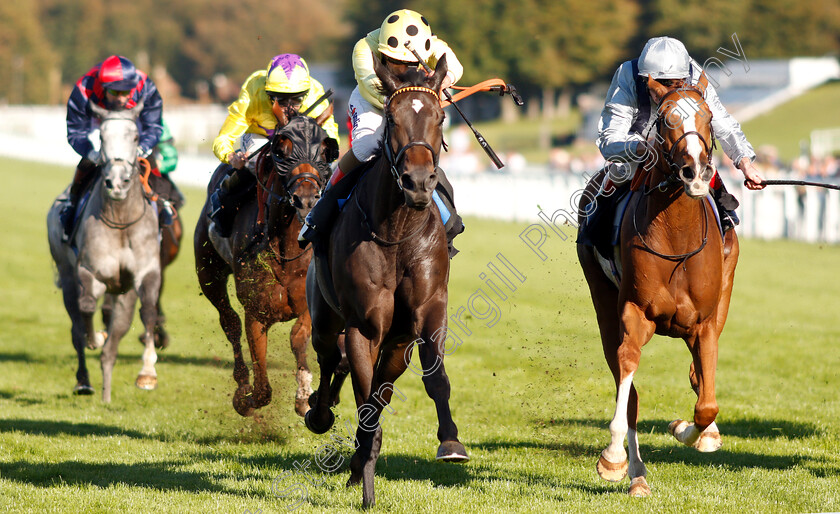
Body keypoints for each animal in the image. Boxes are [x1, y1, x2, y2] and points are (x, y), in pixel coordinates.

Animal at [47, 100, 162, 402]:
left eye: (135, 137)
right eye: (101, 136)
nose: (117, 182)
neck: (121, 219)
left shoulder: (147, 272)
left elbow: (149, 311)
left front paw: (147, 373)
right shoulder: (89, 271)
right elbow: (87, 309)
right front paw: (95, 337)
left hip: (123, 295)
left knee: (112, 348)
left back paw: (107, 396)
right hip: (67, 278)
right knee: (77, 327)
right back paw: (84, 382)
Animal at [306, 54, 470, 506]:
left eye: (440, 117)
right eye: (392, 118)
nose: (418, 182)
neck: (397, 232)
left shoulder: (427, 311)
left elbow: (434, 376)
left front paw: (451, 442)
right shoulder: (364, 325)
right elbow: (364, 403)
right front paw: (366, 483)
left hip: (397, 345)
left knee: (378, 382)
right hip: (324, 317)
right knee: (329, 358)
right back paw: (320, 413)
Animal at [576, 74, 740, 494]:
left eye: (708, 116)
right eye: (666, 119)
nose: (695, 171)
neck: (677, 238)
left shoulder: (704, 323)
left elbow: (707, 402)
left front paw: (692, 431)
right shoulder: (635, 313)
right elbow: (628, 374)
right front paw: (614, 458)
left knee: (700, 378)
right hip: (602, 301)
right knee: (626, 380)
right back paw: (634, 472)